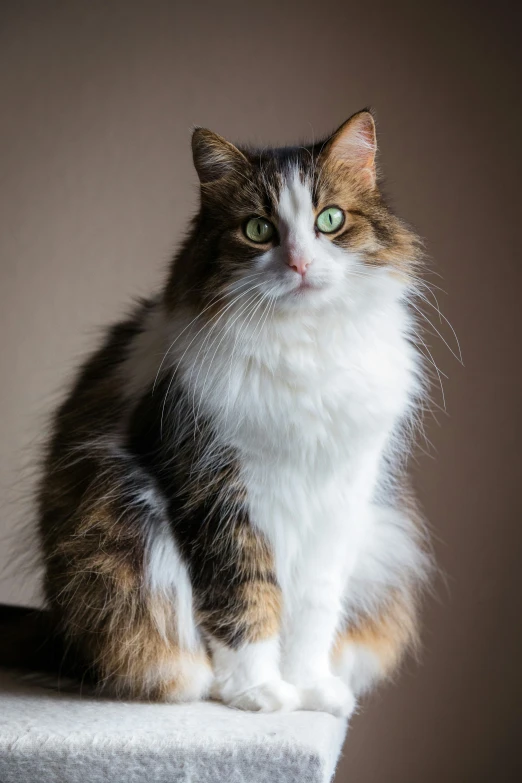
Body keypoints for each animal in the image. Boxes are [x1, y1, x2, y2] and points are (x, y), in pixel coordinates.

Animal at [30, 108, 428, 716]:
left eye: (330, 220)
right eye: (258, 229)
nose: (300, 263)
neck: (303, 351)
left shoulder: (341, 497)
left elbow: (314, 611)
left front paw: (310, 690)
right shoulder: (214, 489)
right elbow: (245, 599)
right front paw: (259, 692)